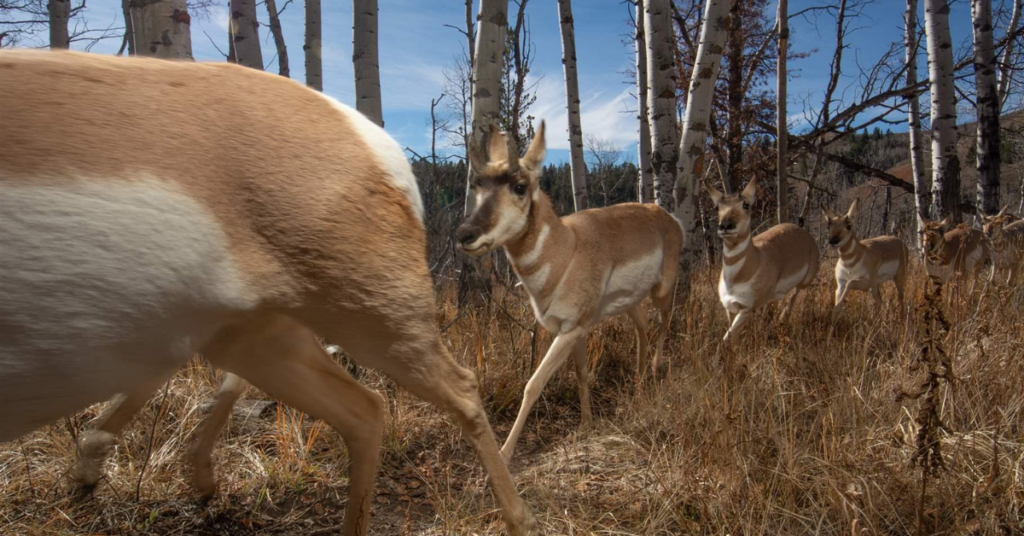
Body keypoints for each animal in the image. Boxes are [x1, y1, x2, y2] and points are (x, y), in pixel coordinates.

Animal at [0, 51, 540, 536]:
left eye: (519, 186)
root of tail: (373, 142)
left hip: (368, 319)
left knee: (457, 389)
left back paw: (518, 519)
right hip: (253, 335)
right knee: (364, 410)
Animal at [454, 124, 679, 463]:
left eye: (520, 186)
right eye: (477, 183)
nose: (465, 234)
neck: (566, 251)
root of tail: (666, 215)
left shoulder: (570, 329)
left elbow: (533, 384)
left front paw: (504, 454)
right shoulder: (576, 329)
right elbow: (582, 373)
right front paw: (586, 424)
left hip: (662, 289)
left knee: (666, 318)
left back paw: (656, 368)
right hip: (631, 302)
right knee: (644, 327)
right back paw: (640, 385)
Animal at [708, 178, 819, 342]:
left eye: (745, 204)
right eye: (718, 207)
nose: (726, 226)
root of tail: (804, 232)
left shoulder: (746, 308)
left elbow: (727, 338)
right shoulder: (730, 308)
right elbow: (731, 338)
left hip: (806, 280)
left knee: (795, 293)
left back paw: (782, 319)